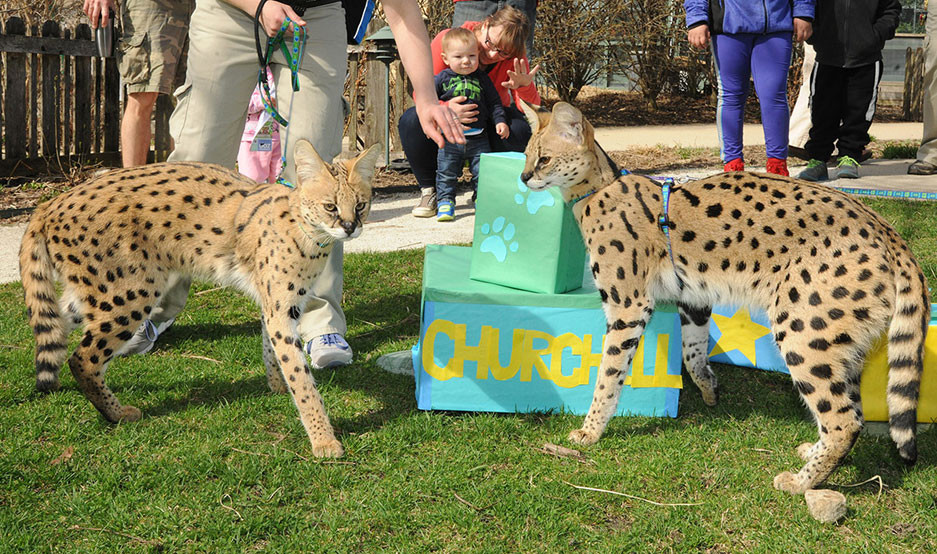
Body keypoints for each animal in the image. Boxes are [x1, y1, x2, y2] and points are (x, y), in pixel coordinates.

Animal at [18, 141, 378, 458]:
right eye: (330, 206)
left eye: (361, 205)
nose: (350, 227)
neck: (307, 230)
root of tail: (49, 204)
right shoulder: (280, 308)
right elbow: (302, 379)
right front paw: (323, 439)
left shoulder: (276, 303)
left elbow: (271, 349)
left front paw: (276, 386)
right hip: (130, 294)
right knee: (82, 359)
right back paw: (117, 414)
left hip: (92, 295)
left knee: (53, 330)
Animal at [520, 101, 928, 494]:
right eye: (525, 155)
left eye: (544, 159)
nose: (524, 177)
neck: (597, 190)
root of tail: (889, 231)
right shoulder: (694, 299)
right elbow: (692, 354)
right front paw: (710, 391)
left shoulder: (627, 305)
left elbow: (608, 374)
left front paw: (590, 431)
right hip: (840, 343)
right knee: (853, 410)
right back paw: (812, 455)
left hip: (803, 330)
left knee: (843, 419)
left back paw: (801, 483)